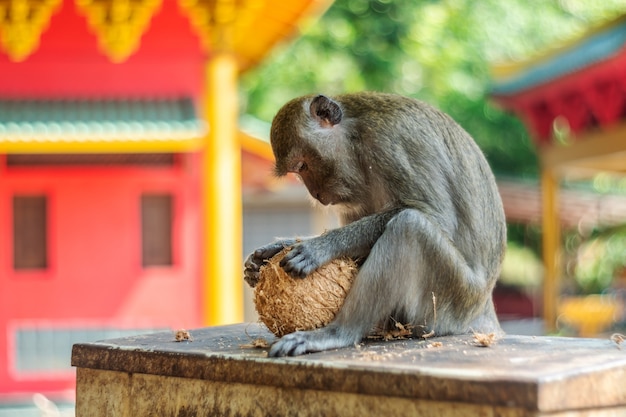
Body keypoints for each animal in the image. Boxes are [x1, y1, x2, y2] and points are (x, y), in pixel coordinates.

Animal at [241, 92, 504, 358]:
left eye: (302, 166)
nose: (315, 194)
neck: (356, 137)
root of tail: (482, 308)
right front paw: (272, 252)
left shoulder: (393, 144)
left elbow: (439, 216)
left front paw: (321, 246)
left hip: (451, 302)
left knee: (409, 227)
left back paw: (337, 333)